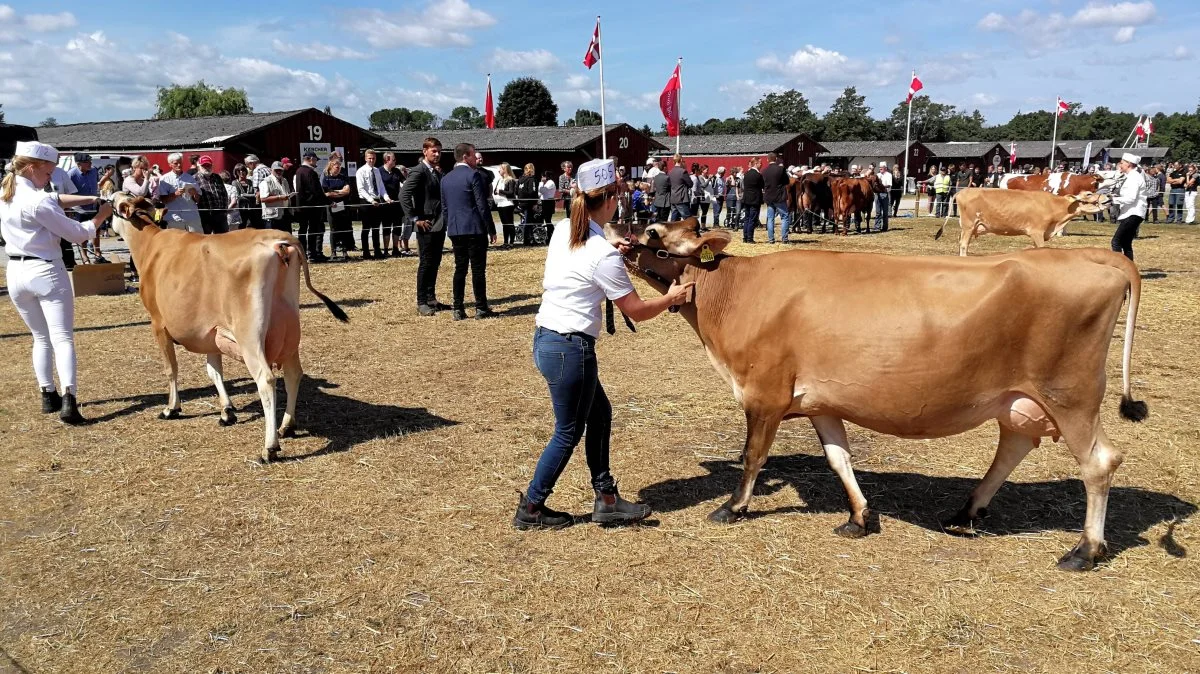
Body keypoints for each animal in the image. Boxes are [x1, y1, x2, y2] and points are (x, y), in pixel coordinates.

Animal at [111, 191, 350, 458]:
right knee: (293, 373)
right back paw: (287, 426)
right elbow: (214, 371)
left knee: (266, 379)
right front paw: (227, 411)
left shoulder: (158, 323)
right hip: (290, 331)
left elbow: (171, 369)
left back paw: (270, 447)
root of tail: (279, 241)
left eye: (110, 203)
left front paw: (171, 408)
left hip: (250, 335)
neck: (150, 244)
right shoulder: (212, 333)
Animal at [624, 219, 1147, 566]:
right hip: (1021, 399)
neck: (735, 292)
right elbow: (839, 459)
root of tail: (1094, 258)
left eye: (653, 235)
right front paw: (859, 517)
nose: (618, 232)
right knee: (1015, 445)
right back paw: (965, 512)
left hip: (1071, 394)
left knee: (1099, 461)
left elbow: (753, 455)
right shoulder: (821, 401)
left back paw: (1085, 549)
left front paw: (732, 508)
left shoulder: (764, 394)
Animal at [931, 185, 1108, 254]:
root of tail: (962, 191)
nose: (1108, 198)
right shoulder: (1037, 231)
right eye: (1089, 194)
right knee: (963, 245)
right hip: (968, 225)